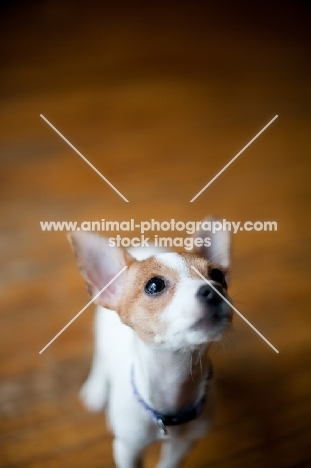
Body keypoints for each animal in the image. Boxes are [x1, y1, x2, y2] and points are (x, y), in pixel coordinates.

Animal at [69, 222, 233, 468]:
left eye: (217, 275)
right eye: (154, 285)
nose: (213, 290)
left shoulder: (184, 443)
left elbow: (170, 463)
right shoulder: (127, 448)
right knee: (100, 358)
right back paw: (96, 390)